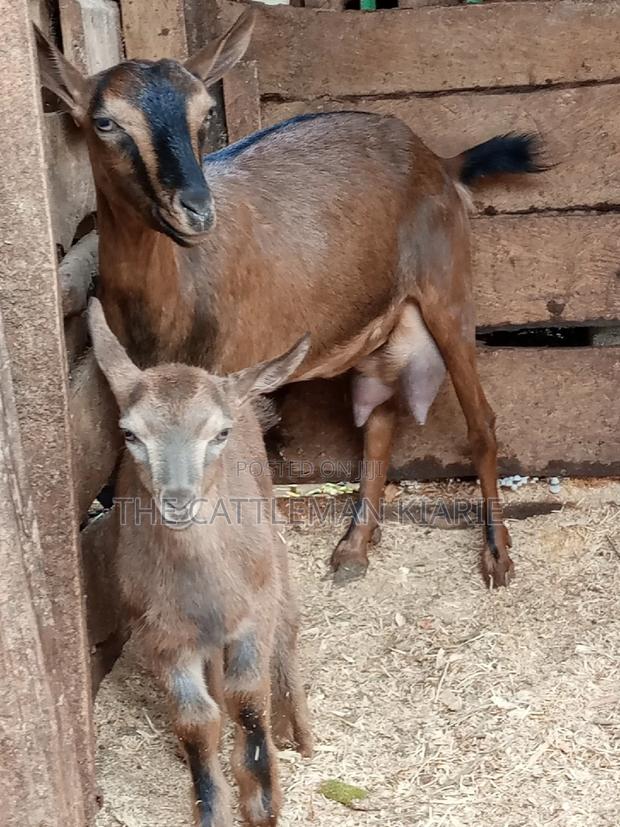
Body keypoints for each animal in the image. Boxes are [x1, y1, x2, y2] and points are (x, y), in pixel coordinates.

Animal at [36, 10, 544, 587]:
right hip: (377, 324)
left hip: (448, 292)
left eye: (206, 113)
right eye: (104, 122)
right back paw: (354, 547)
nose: (196, 209)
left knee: (481, 421)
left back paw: (497, 553)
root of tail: (440, 160)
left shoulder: (234, 385)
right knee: (380, 424)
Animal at [88, 297, 313, 826]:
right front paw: (211, 806)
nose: (177, 500)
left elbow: (247, 697)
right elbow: (196, 720)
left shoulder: (254, 609)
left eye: (219, 433)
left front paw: (263, 802)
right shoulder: (160, 632)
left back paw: (297, 728)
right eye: (130, 434)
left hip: (272, 539)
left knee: (289, 622)